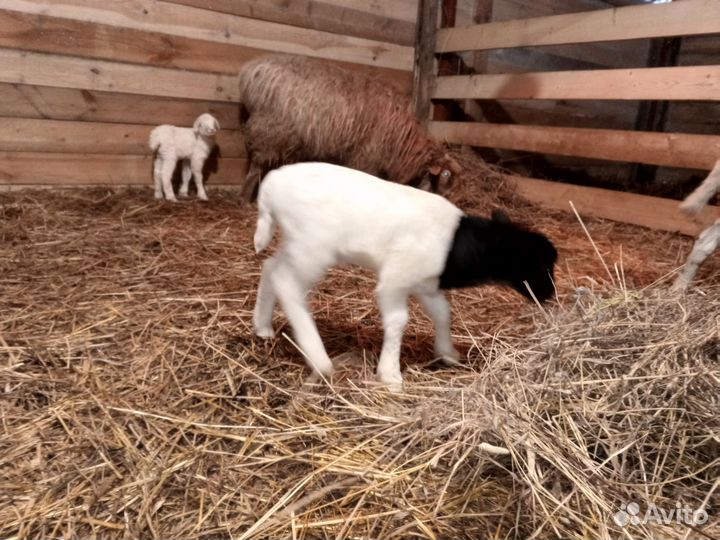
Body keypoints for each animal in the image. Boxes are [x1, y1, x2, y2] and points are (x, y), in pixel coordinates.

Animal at [237, 54, 462, 201]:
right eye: (445, 176)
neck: (402, 144)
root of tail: (251, 70)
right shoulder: (366, 158)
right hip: (268, 131)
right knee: (256, 167)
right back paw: (246, 199)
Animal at [252, 162, 557, 392]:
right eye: (538, 263)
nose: (550, 295)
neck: (457, 244)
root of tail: (272, 183)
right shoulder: (395, 279)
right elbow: (399, 320)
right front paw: (390, 373)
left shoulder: (425, 283)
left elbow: (443, 312)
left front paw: (447, 353)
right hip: (313, 248)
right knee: (287, 283)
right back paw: (319, 358)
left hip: (298, 246)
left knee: (271, 267)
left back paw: (262, 326)